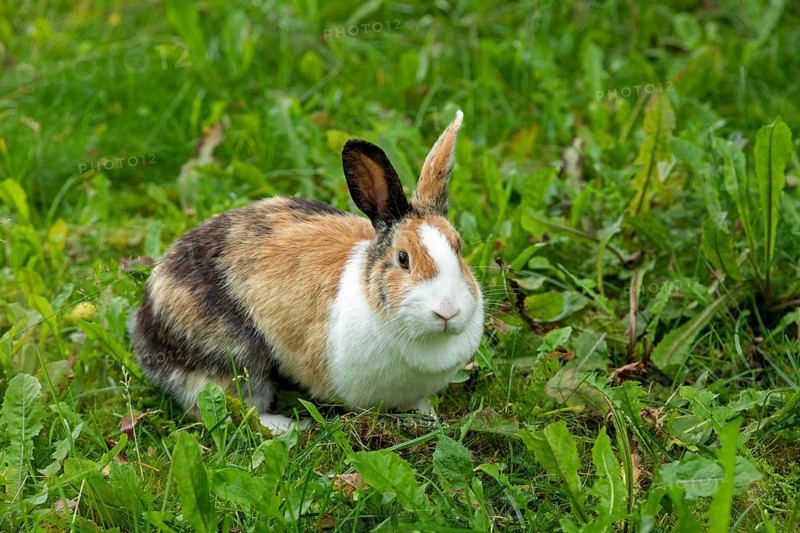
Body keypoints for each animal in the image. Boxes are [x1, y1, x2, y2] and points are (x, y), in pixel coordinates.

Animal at [128, 110, 484, 433]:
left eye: (459, 247)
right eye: (403, 258)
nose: (447, 311)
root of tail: (145, 325)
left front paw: (429, 417)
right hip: (233, 359)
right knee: (231, 406)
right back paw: (287, 426)